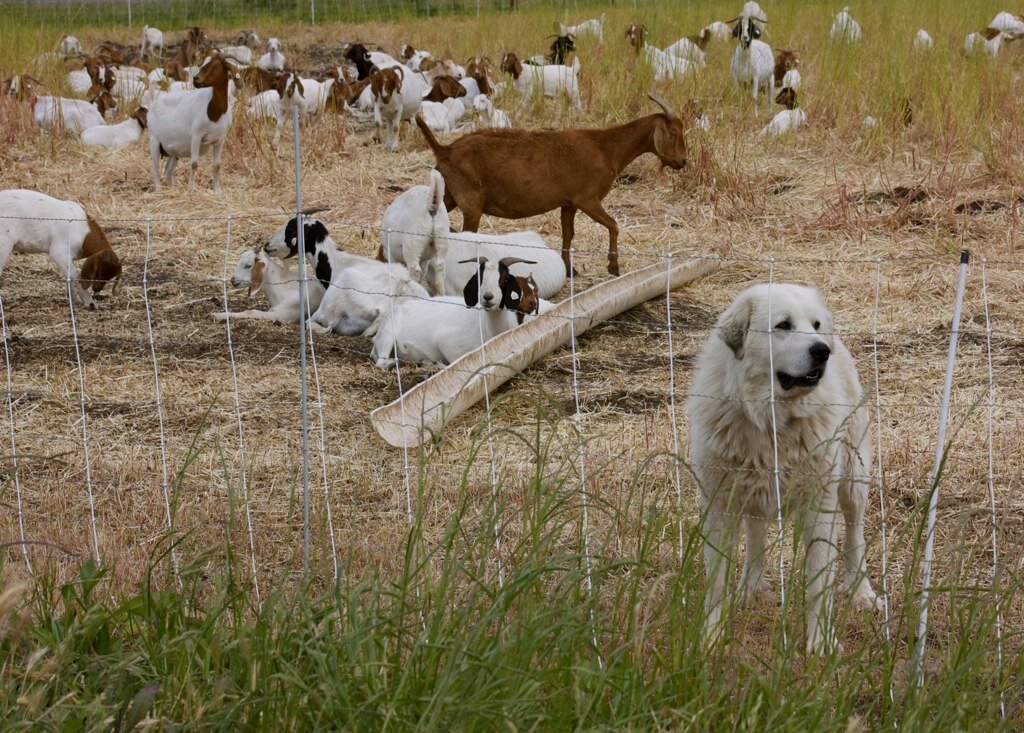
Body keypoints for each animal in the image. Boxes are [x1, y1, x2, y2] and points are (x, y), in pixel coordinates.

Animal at [148, 55, 235, 191]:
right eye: (202, 64)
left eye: (215, 66)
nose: (195, 79)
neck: (214, 112)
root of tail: (155, 102)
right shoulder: (196, 135)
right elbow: (194, 164)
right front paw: (192, 188)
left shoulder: (220, 139)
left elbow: (217, 165)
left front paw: (217, 190)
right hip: (154, 140)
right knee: (155, 168)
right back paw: (159, 190)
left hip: (173, 149)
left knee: (168, 169)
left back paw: (172, 189)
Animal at [374, 257, 536, 372]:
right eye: (479, 278)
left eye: (505, 278)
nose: (488, 297)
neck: (489, 328)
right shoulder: (448, 344)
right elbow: (455, 364)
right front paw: (434, 363)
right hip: (388, 335)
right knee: (381, 363)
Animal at [415, 91, 688, 274]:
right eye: (673, 133)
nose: (682, 162)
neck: (606, 147)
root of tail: (446, 150)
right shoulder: (587, 199)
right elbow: (614, 225)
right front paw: (613, 266)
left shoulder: (568, 202)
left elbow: (569, 234)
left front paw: (569, 269)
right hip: (471, 200)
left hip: (449, 193)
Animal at [688, 284, 880, 651]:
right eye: (783, 325)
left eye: (815, 325)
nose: (822, 351)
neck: (771, 419)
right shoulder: (719, 504)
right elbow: (716, 580)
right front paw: (711, 636)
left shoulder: (821, 506)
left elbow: (819, 582)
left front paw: (820, 643)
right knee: (756, 536)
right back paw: (750, 588)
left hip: (853, 482)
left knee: (855, 535)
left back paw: (861, 591)